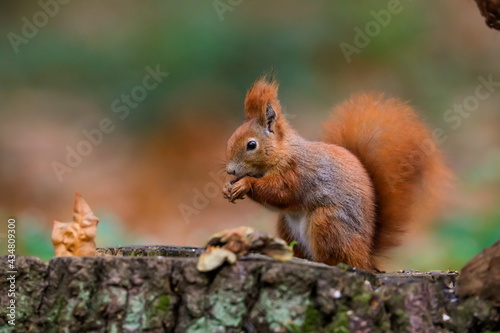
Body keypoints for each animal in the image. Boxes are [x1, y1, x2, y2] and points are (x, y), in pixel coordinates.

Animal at [222, 76, 450, 272]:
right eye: (230, 138)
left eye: (251, 145)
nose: (230, 170)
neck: (283, 152)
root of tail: (366, 258)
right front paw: (228, 187)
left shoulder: (298, 172)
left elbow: (280, 192)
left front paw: (245, 184)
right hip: (286, 226)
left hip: (327, 223)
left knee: (336, 258)